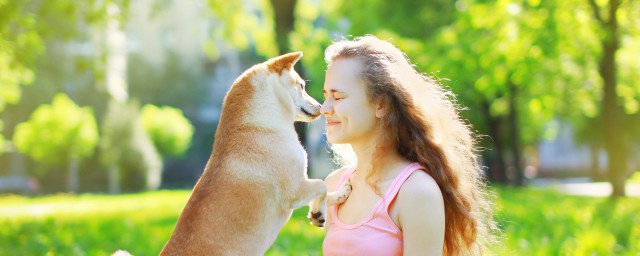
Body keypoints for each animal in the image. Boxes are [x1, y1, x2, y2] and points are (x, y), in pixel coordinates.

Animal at [150, 52, 352, 256]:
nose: (320, 107)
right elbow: (321, 185)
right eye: (302, 86)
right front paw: (319, 210)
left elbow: (326, 191)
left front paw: (335, 199)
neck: (257, 124)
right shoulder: (296, 189)